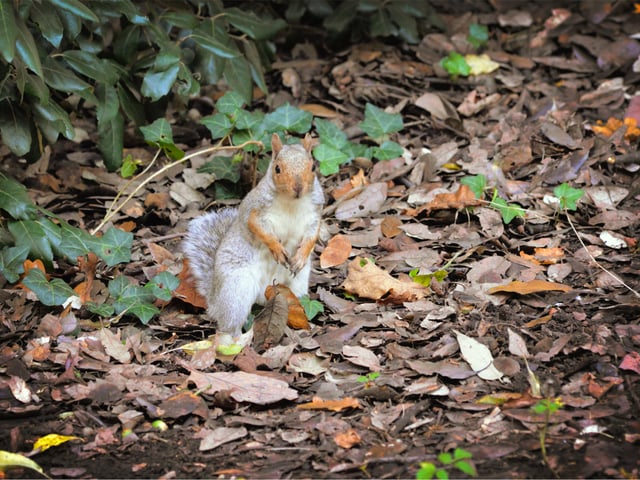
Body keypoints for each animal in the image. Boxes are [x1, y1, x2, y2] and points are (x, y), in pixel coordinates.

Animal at [182, 133, 324, 339]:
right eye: (277, 168)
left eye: (313, 167)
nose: (298, 188)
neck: (292, 202)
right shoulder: (255, 212)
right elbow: (259, 229)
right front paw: (277, 249)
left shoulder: (315, 215)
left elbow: (312, 236)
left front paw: (300, 257)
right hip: (237, 289)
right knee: (228, 326)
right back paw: (241, 338)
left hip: (296, 285)